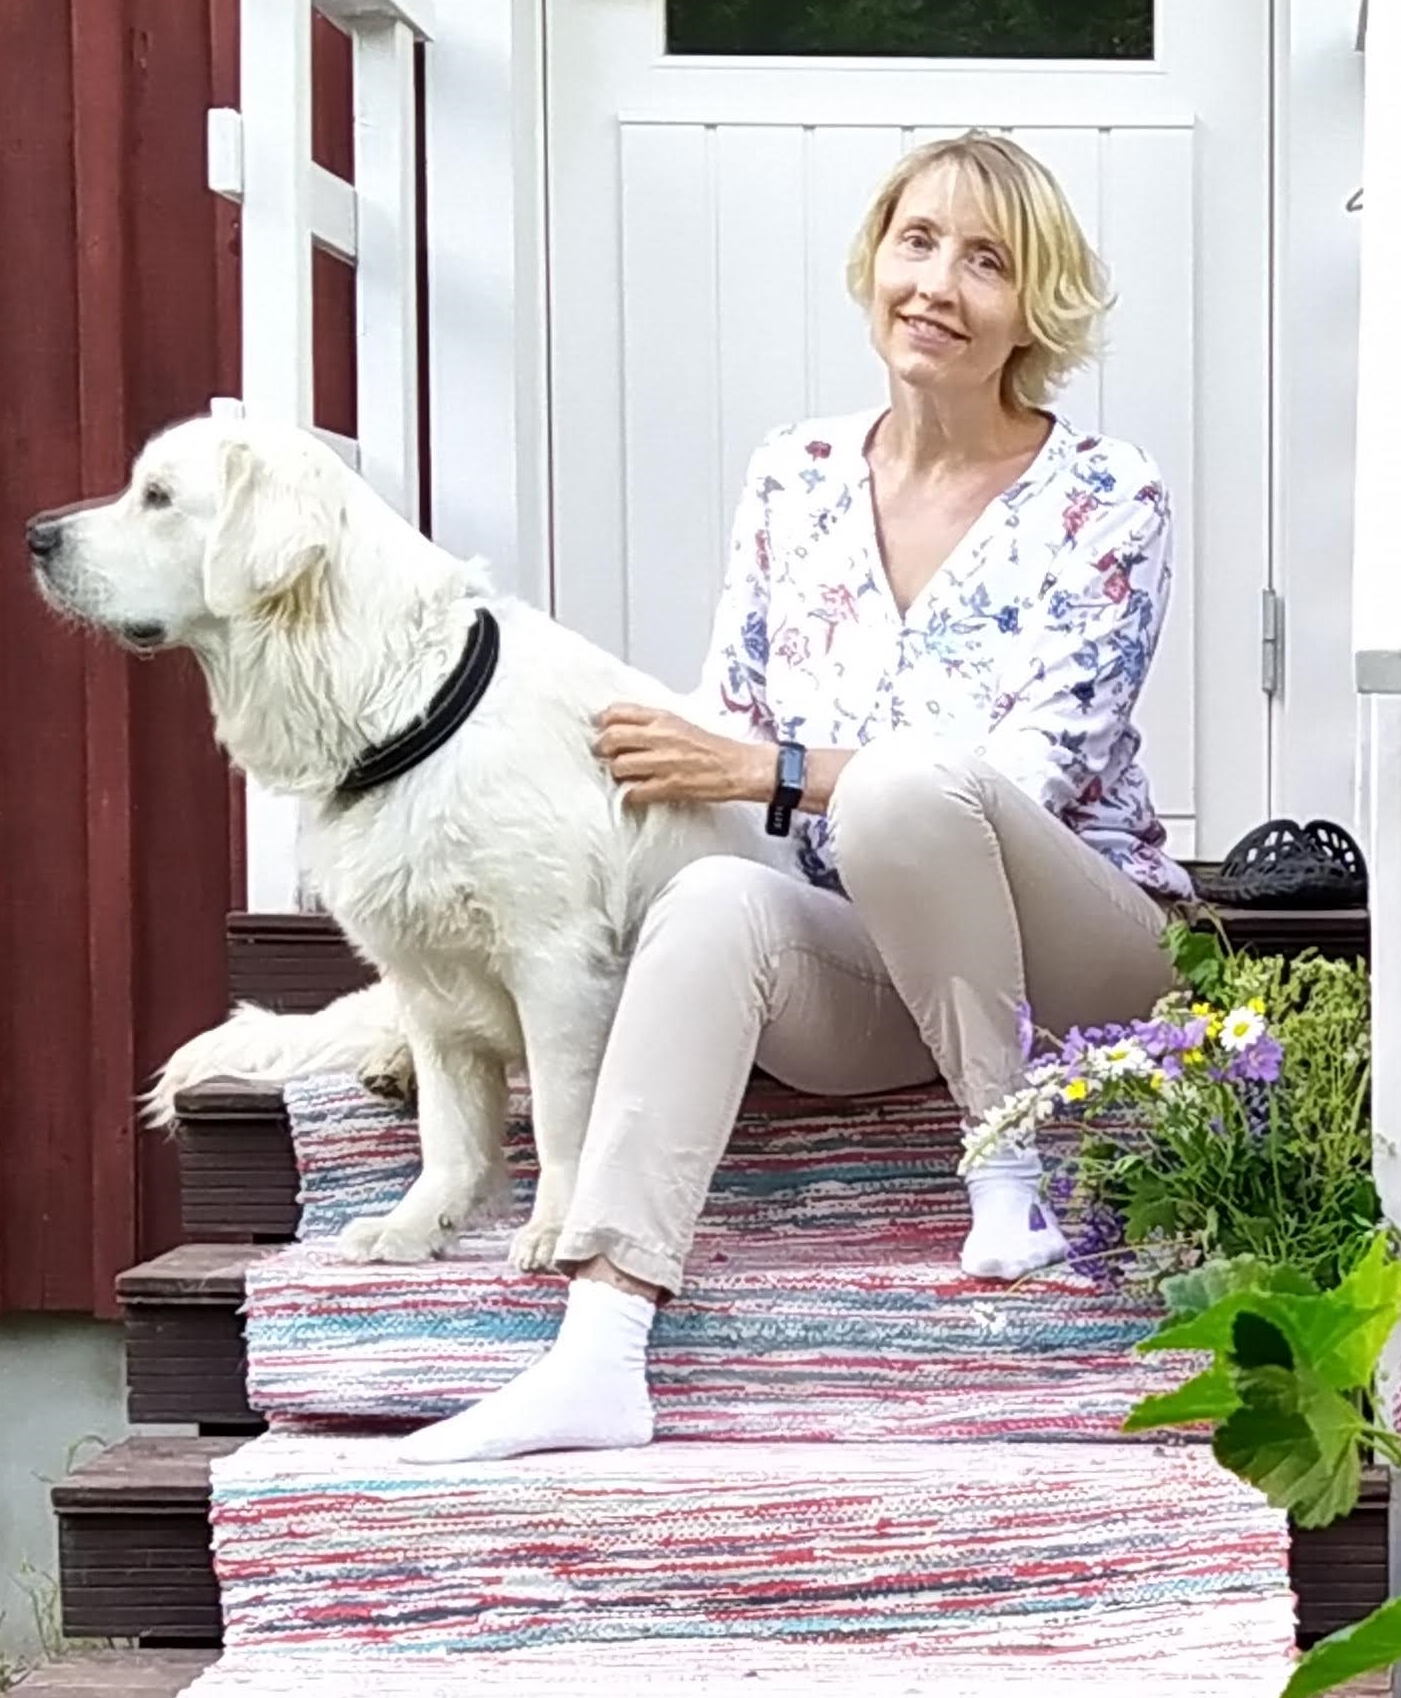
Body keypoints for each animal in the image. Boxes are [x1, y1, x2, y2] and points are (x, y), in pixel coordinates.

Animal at [28, 414, 796, 1270]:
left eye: (157, 497)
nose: (35, 536)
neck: (405, 706)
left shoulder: (556, 964)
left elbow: (564, 1116)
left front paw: (554, 1226)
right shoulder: (425, 967)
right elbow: (450, 1127)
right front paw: (419, 1222)